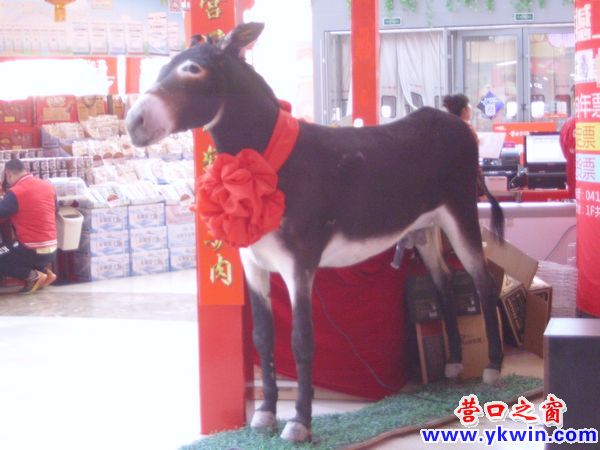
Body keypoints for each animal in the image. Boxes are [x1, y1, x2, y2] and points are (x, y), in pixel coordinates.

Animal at [125, 22, 505, 443]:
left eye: (191, 69)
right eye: (161, 69)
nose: (132, 123)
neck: (269, 163)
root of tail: (451, 119)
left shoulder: (300, 266)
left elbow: (301, 342)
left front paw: (298, 423)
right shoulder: (252, 264)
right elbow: (263, 338)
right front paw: (264, 415)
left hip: (460, 213)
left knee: (482, 282)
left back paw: (492, 369)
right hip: (425, 229)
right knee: (443, 283)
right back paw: (453, 366)